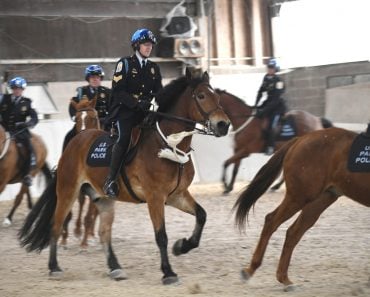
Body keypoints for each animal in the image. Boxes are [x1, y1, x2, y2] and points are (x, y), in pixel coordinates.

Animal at [19, 68, 231, 284]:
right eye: (201, 96)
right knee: (56, 224)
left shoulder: (176, 195)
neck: (168, 145)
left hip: (102, 198)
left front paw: (182, 246)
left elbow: (202, 215)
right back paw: (54, 267)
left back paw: (115, 268)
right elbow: (161, 235)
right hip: (68, 191)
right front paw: (168, 272)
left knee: (104, 233)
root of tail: (76, 140)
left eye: (217, 96)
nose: (223, 125)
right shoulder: (155, 197)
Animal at [233, 126, 370, 290]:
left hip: (320, 199)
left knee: (293, 232)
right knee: (272, 221)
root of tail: (300, 139)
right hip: (300, 196)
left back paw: (283, 278)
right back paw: (252, 270)